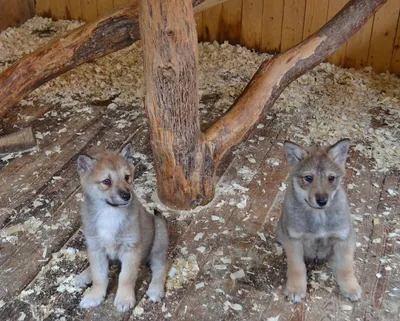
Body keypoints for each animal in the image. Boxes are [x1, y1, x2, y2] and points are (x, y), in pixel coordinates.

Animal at [75, 144, 169, 312]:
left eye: (127, 177)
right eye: (106, 181)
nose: (127, 196)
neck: (109, 212)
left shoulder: (131, 248)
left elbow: (126, 277)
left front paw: (124, 298)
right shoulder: (96, 248)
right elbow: (99, 276)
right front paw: (95, 296)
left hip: (159, 241)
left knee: (161, 267)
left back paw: (155, 289)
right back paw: (84, 275)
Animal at [276, 138, 360, 302]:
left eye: (331, 178)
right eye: (308, 178)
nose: (322, 201)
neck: (319, 216)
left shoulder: (344, 238)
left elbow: (346, 266)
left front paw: (350, 286)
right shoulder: (294, 240)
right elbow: (297, 267)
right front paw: (295, 288)